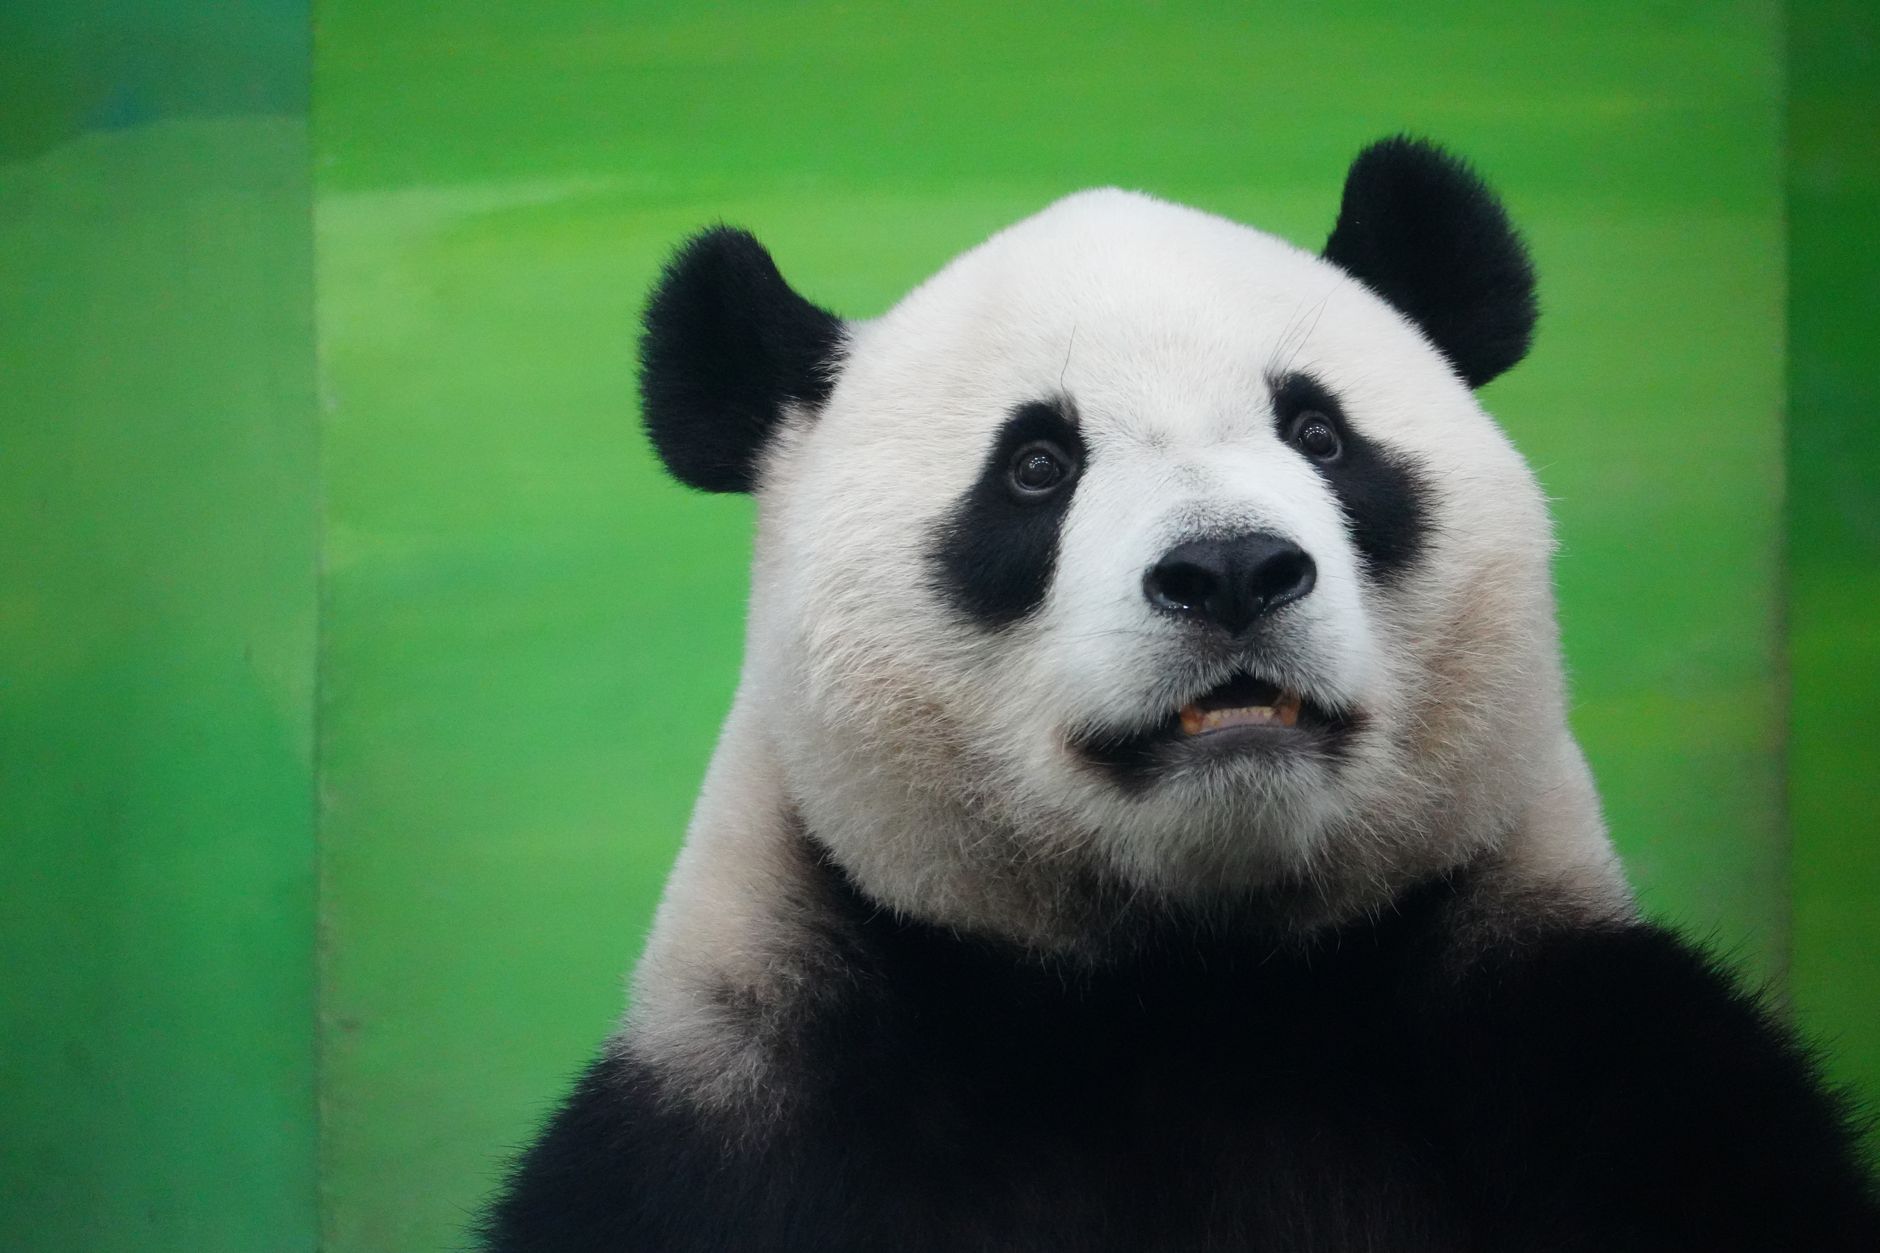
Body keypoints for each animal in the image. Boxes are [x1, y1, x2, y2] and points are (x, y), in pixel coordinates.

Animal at [481, 138, 1879, 1251]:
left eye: (1318, 434)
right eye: (1035, 465)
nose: (1231, 570)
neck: (1190, 984)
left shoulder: (1600, 1062)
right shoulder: (736, 1127)